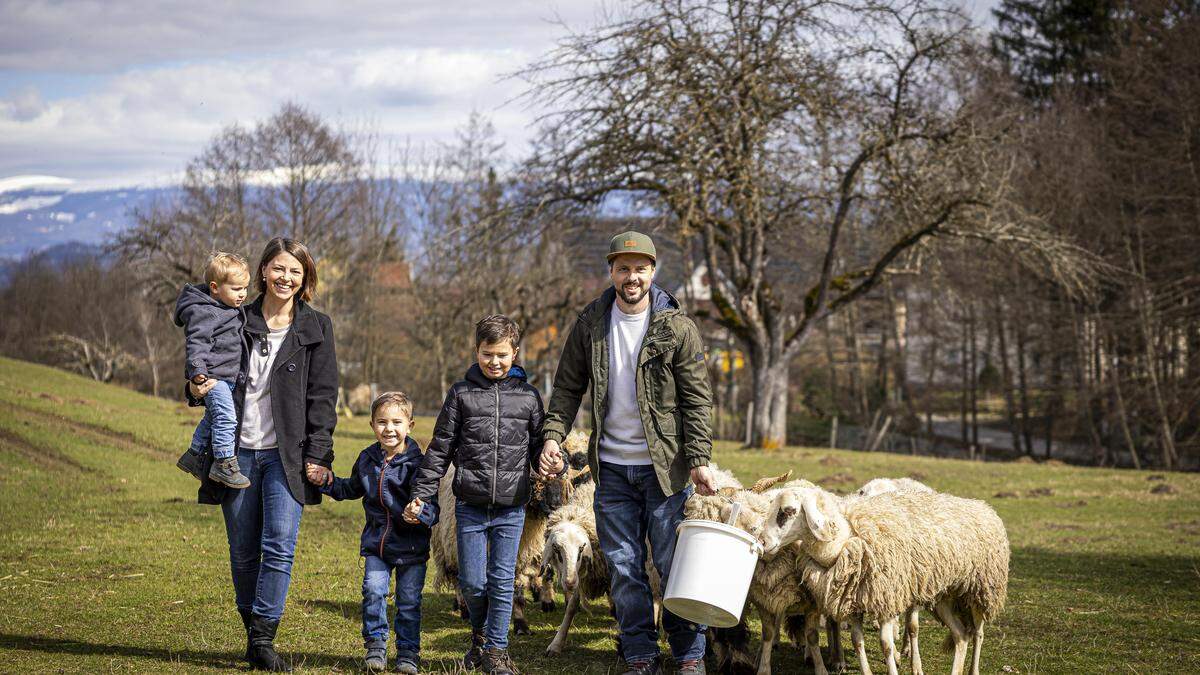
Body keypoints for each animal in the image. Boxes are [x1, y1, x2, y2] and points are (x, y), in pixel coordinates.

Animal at [758, 482, 1012, 672]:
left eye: (788, 511)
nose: (762, 542)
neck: (846, 541)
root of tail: (983, 505)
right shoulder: (855, 601)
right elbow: (857, 640)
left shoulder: (888, 598)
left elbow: (886, 645)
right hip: (943, 596)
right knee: (960, 635)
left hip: (981, 589)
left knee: (978, 633)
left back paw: (973, 669)